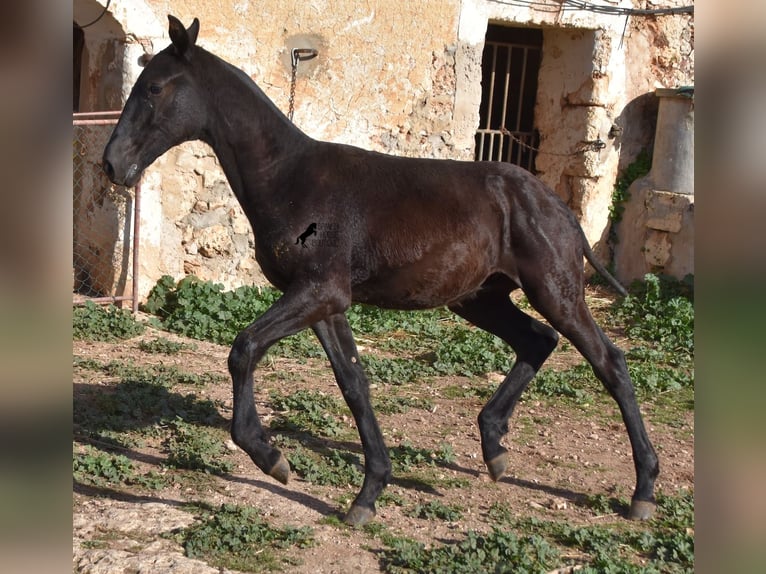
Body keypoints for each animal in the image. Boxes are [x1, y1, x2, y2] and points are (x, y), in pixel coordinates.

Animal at [103, 14, 660, 528]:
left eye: (154, 87)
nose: (111, 163)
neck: (290, 178)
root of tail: (558, 206)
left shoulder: (318, 292)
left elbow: (243, 350)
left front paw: (271, 457)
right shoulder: (325, 303)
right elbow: (354, 383)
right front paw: (368, 493)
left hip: (555, 292)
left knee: (610, 363)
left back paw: (643, 490)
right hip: (481, 298)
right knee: (537, 340)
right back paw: (494, 448)